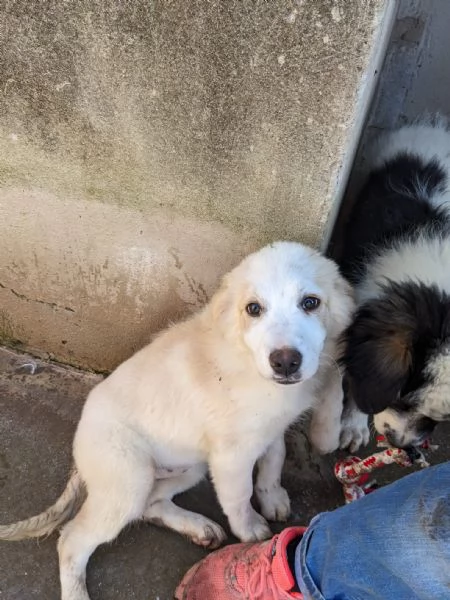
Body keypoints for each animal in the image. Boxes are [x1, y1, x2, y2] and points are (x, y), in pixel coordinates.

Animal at [0, 241, 356, 600]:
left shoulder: (270, 429)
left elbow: (274, 459)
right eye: (253, 309)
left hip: (189, 467)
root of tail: (78, 446)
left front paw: (273, 496)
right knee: (73, 539)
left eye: (310, 302)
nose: (284, 362)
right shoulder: (231, 456)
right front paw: (250, 528)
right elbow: (239, 496)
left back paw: (200, 528)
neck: (246, 358)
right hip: (130, 479)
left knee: (150, 505)